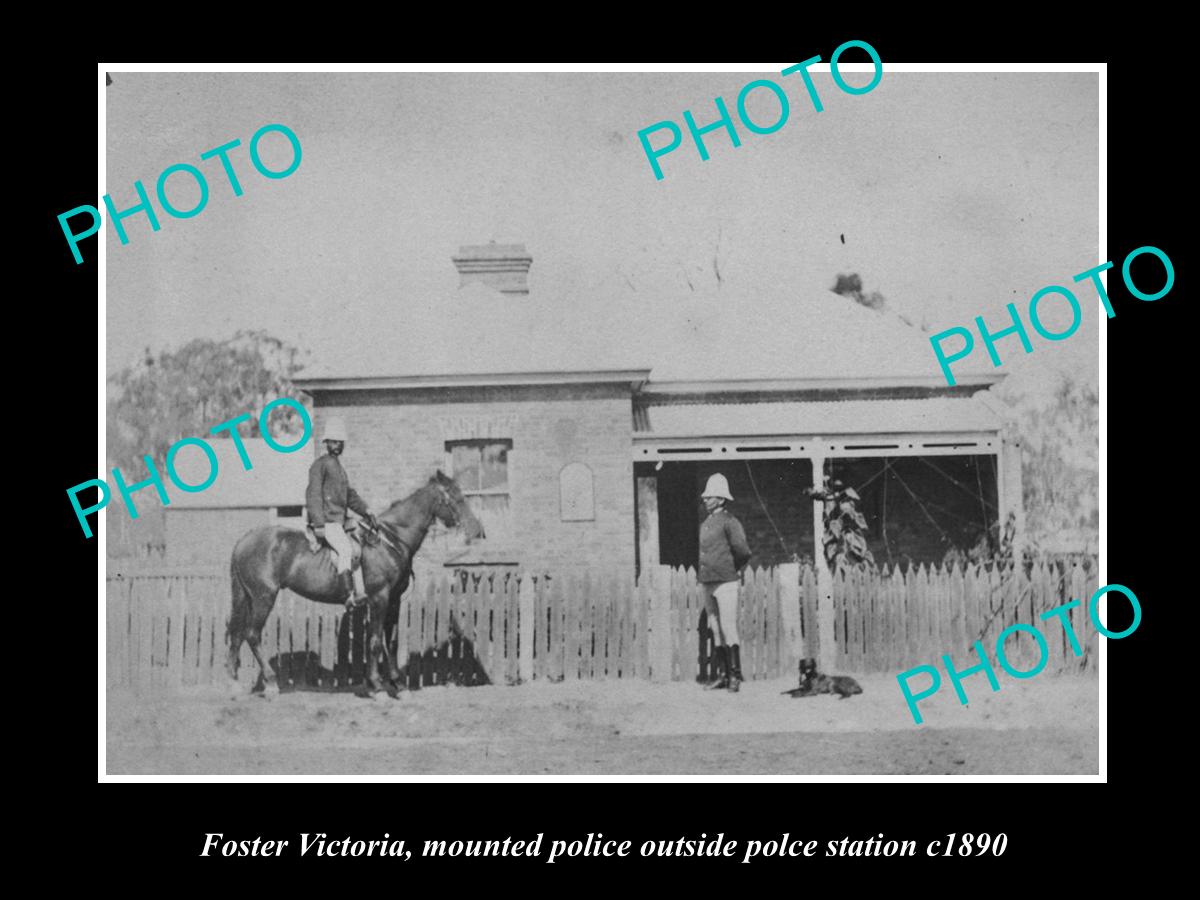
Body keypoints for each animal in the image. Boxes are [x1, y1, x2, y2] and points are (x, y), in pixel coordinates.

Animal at [225, 472, 482, 696]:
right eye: (456, 498)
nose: (478, 531)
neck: (390, 540)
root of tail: (244, 540)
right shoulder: (380, 598)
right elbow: (376, 642)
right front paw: (377, 687)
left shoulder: (394, 600)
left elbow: (391, 642)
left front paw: (398, 685)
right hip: (264, 597)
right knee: (252, 634)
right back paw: (270, 683)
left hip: (247, 597)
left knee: (237, 634)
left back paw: (234, 683)